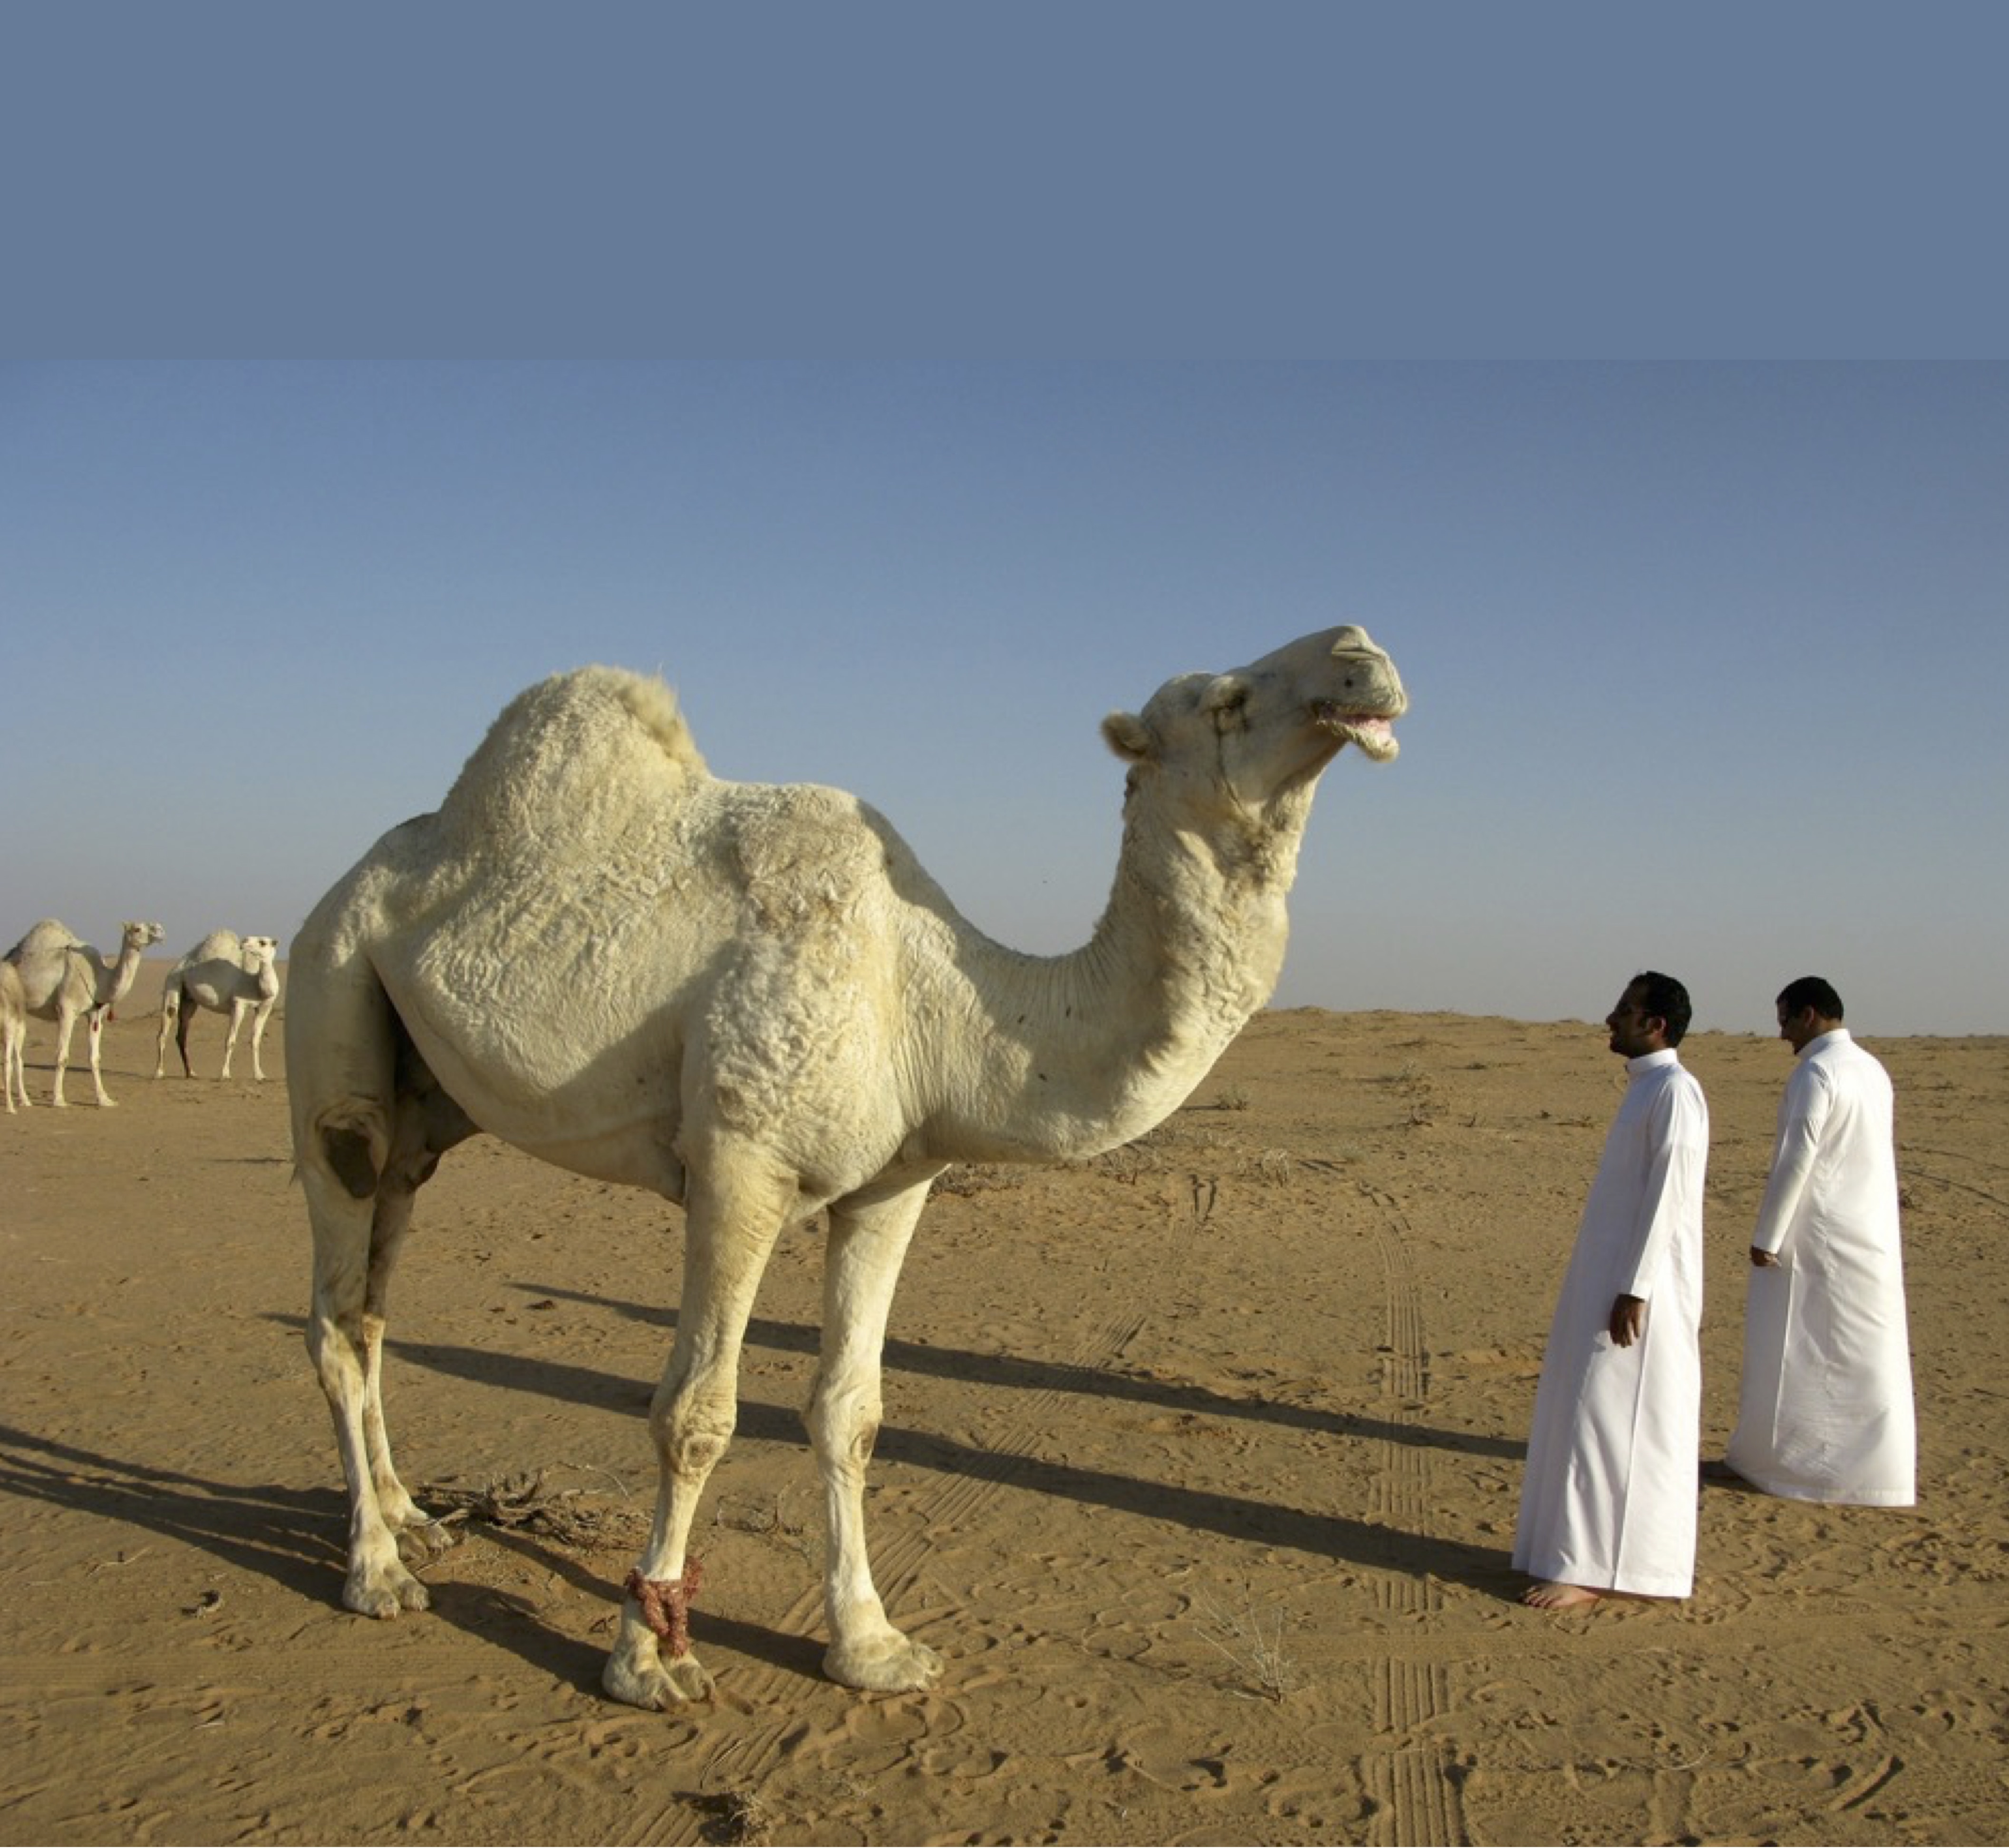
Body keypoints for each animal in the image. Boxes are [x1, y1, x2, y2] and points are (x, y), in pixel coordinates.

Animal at [5, 918, 166, 1106]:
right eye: (137, 929)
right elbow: (62, 1056)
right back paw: (24, 1100)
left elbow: (95, 1058)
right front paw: (59, 1099)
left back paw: (20, 1098)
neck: (100, 978)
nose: (160, 931)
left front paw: (105, 1100)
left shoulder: (95, 1015)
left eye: (154, 925)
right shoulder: (66, 1010)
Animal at [154, 931, 282, 1081]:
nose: (245, 941)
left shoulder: (265, 1007)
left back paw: (191, 1073)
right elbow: (231, 1040)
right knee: (164, 1030)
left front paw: (260, 1075)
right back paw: (159, 1072)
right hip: (172, 984)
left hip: (189, 1000)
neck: (255, 982)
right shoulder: (238, 1004)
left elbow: (256, 1041)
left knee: (182, 1035)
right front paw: (225, 1074)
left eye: (263, 942)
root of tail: (178, 966)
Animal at [287, 625, 1407, 1710]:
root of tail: (342, 886)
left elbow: (851, 1412)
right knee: (337, 1304)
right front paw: (649, 1658)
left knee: (377, 1297)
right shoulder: (738, 1165)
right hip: (331, 994)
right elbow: (695, 1415)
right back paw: (378, 1570)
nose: (1363, 656)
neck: (936, 1003)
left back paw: (411, 1513)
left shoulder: (894, 1185)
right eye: (1226, 701)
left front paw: (871, 1644)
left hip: (424, 1107)